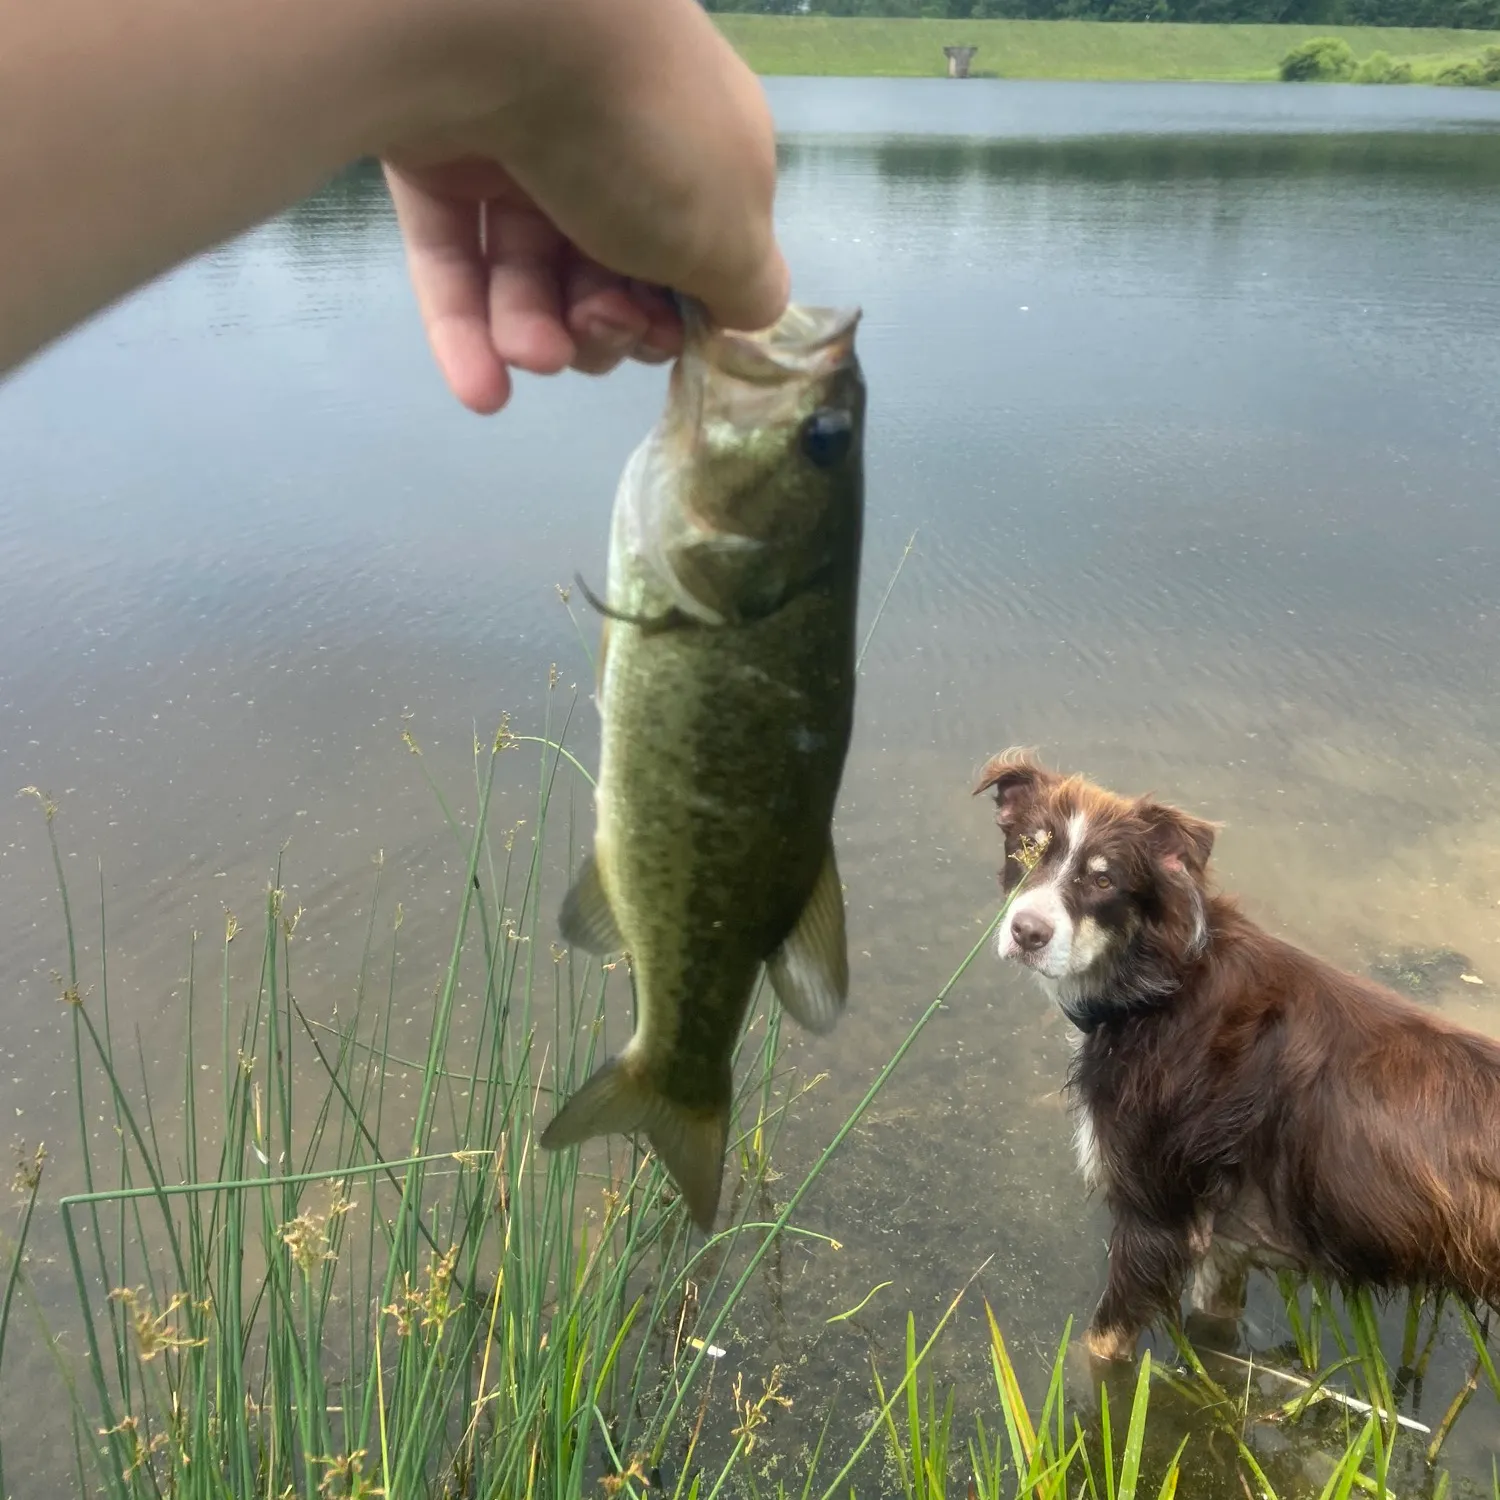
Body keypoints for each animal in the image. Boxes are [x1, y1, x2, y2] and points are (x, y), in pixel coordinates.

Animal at [972, 747, 1500, 1362]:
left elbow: (1097, 1351)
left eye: (1104, 879)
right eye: (1027, 849)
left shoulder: (1155, 1223)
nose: (1026, 932)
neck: (1164, 987)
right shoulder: (1226, 1245)